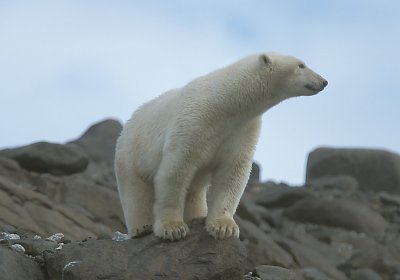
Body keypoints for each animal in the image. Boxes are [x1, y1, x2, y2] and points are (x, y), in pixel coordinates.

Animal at [115, 52, 328, 241]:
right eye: (301, 65)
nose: (324, 81)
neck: (225, 103)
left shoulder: (243, 129)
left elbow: (232, 172)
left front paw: (223, 227)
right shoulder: (193, 122)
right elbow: (176, 170)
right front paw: (172, 228)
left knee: (194, 192)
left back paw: (197, 215)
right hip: (131, 153)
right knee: (135, 191)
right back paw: (142, 226)